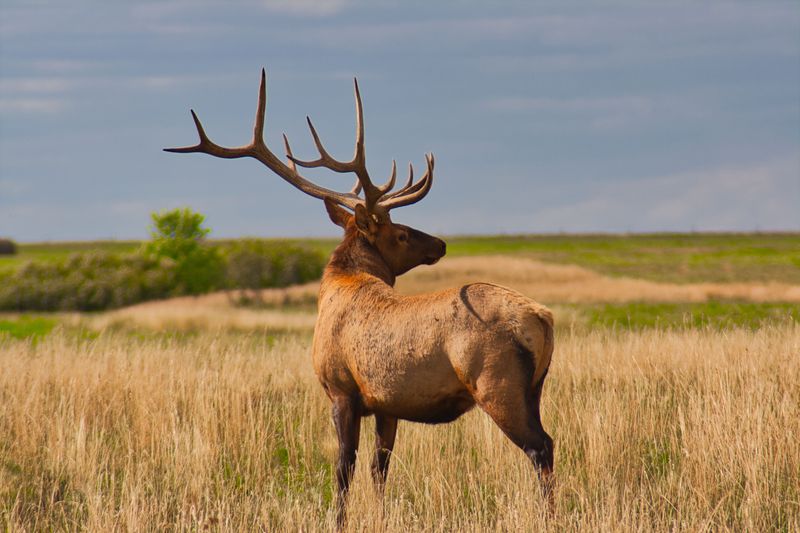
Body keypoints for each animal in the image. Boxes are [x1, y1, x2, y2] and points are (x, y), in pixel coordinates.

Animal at [166, 69, 555, 528]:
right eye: (401, 233)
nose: (439, 243)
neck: (339, 286)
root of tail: (542, 318)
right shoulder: (387, 401)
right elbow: (379, 467)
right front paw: (381, 516)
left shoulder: (341, 389)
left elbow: (343, 467)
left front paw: (337, 521)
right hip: (535, 388)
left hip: (496, 383)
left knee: (540, 447)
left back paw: (550, 517)